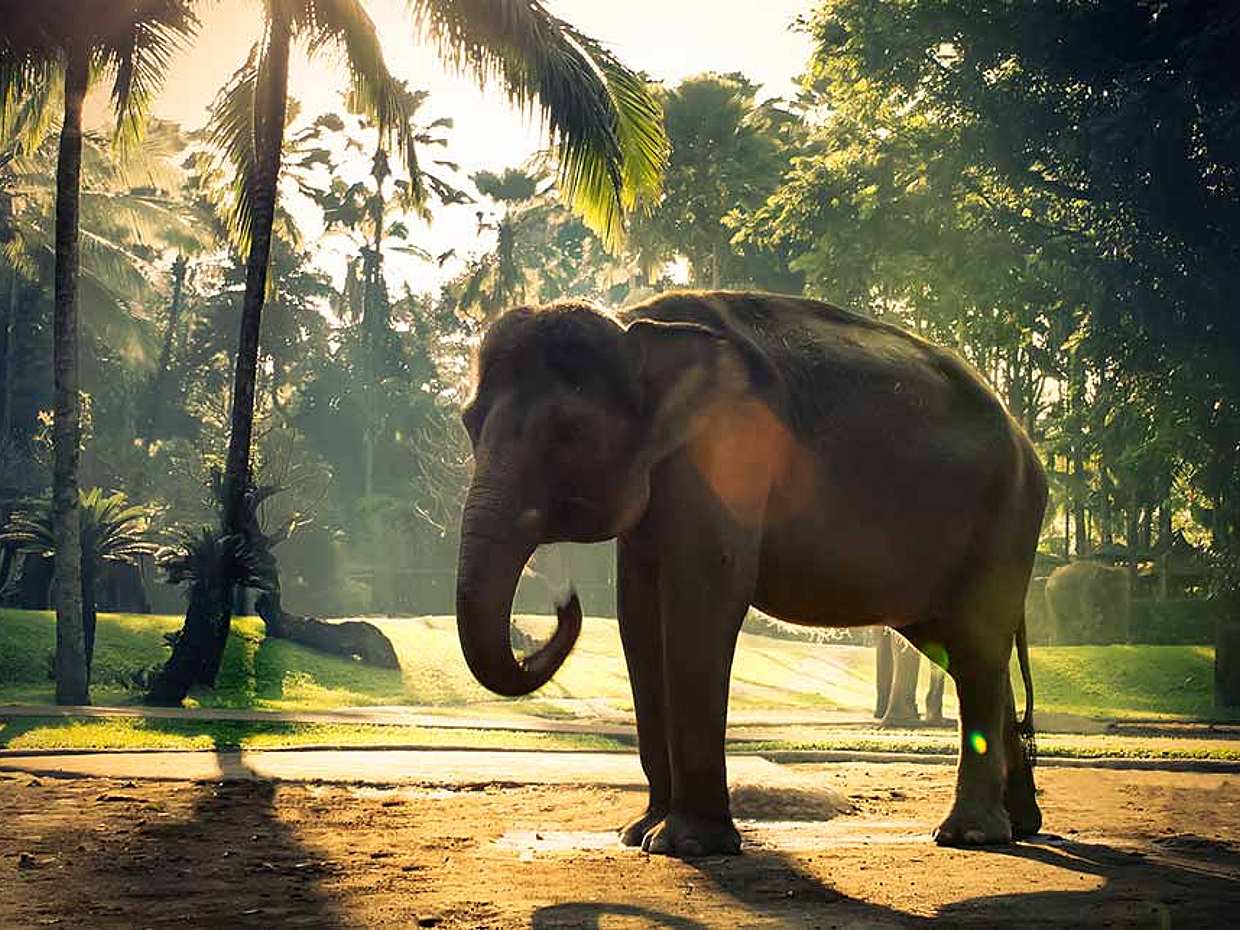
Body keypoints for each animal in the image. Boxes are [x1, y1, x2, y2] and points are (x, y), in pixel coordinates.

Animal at [455, 291, 1046, 857]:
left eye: (568, 431)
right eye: (468, 423)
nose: (565, 601)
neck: (638, 326)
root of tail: (1024, 439)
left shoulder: (729, 453)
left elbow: (705, 592)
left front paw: (685, 844)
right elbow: (637, 615)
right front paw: (637, 832)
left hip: (1006, 520)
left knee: (977, 648)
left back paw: (970, 835)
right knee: (967, 653)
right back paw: (1020, 826)